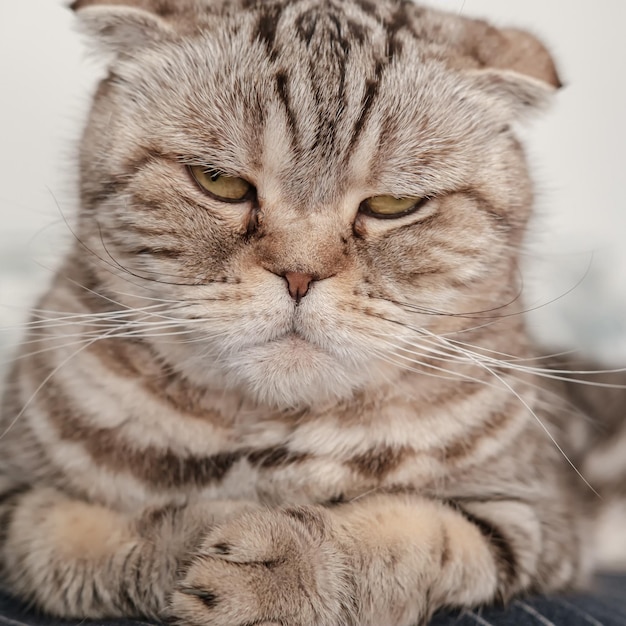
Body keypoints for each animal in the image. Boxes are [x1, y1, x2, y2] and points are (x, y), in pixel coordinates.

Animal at [1, 0, 624, 620]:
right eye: (218, 181)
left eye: (393, 204)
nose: (299, 276)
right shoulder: (16, 496)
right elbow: (72, 536)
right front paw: (199, 529)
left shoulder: (529, 520)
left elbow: (405, 536)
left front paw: (276, 566)